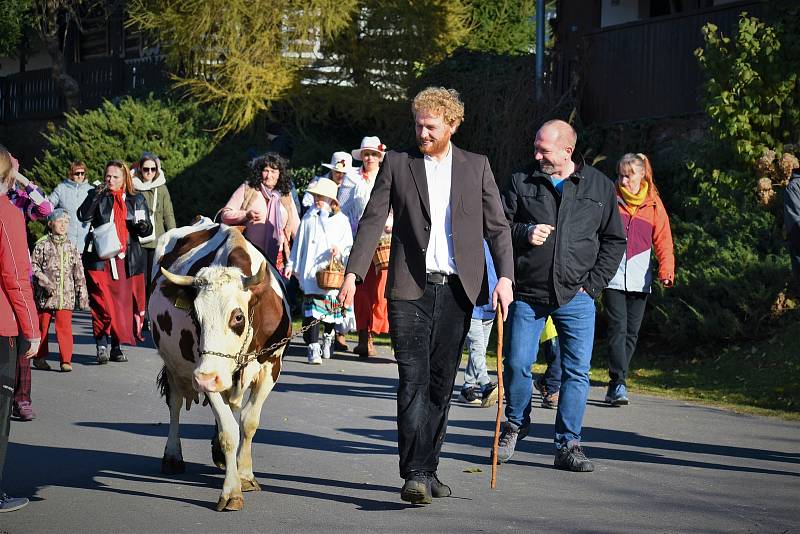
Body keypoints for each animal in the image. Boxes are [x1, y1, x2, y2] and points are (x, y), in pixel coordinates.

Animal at [147, 219, 290, 516]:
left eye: (237, 317)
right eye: (194, 316)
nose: (205, 379)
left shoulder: (271, 368)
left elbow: (249, 422)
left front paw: (245, 475)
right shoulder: (203, 370)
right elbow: (228, 431)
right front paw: (231, 491)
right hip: (174, 364)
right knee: (175, 404)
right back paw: (172, 456)